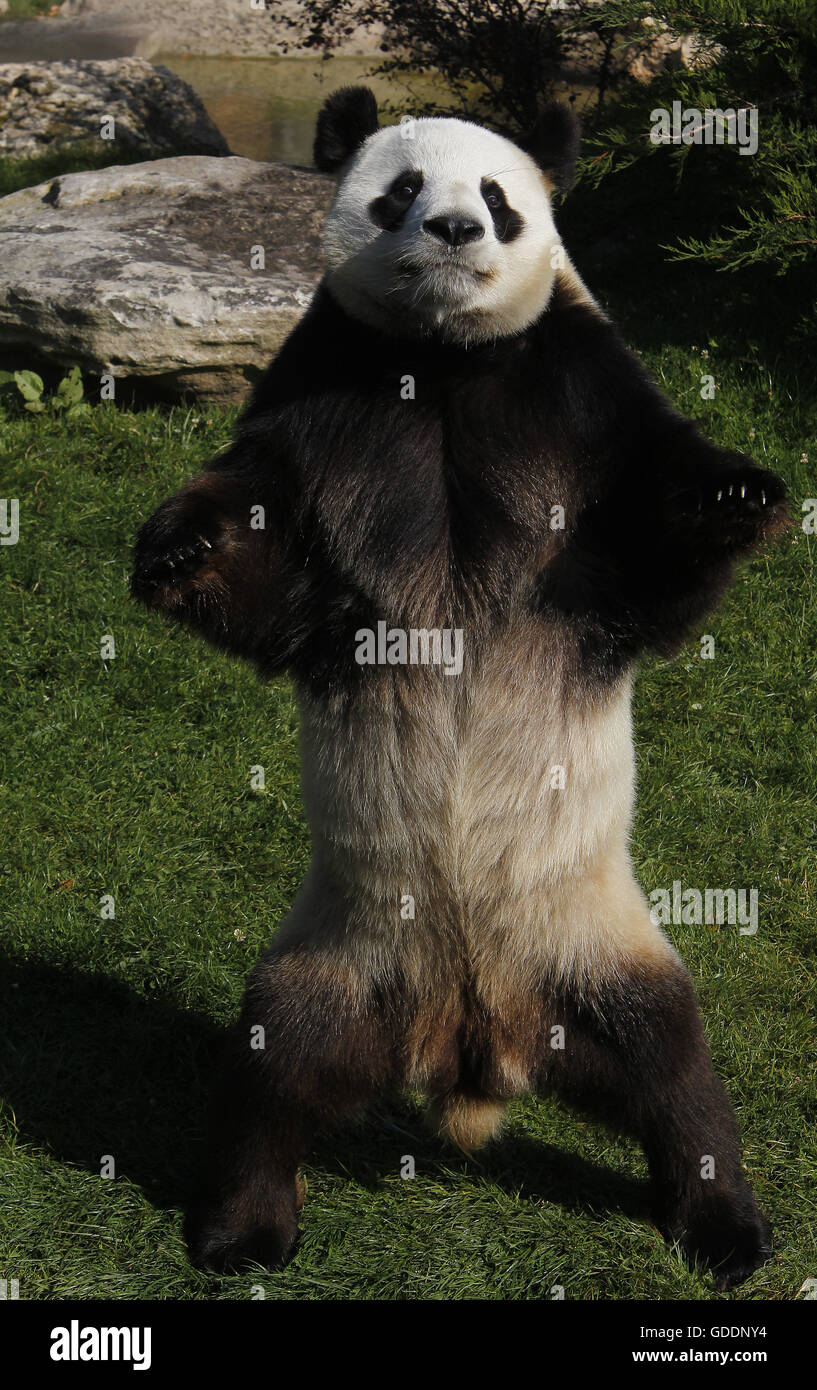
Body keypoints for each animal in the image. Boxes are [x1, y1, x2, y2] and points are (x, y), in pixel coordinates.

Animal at [130, 84, 789, 1278]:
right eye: (399, 190)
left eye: (496, 195)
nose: (450, 230)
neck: (440, 365)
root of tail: (472, 1037)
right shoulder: (319, 390)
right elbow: (257, 537)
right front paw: (178, 547)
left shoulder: (576, 391)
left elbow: (655, 530)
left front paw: (737, 495)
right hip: (340, 949)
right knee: (271, 1064)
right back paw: (238, 1226)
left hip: (590, 931)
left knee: (672, 1063)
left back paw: (721, 1223)